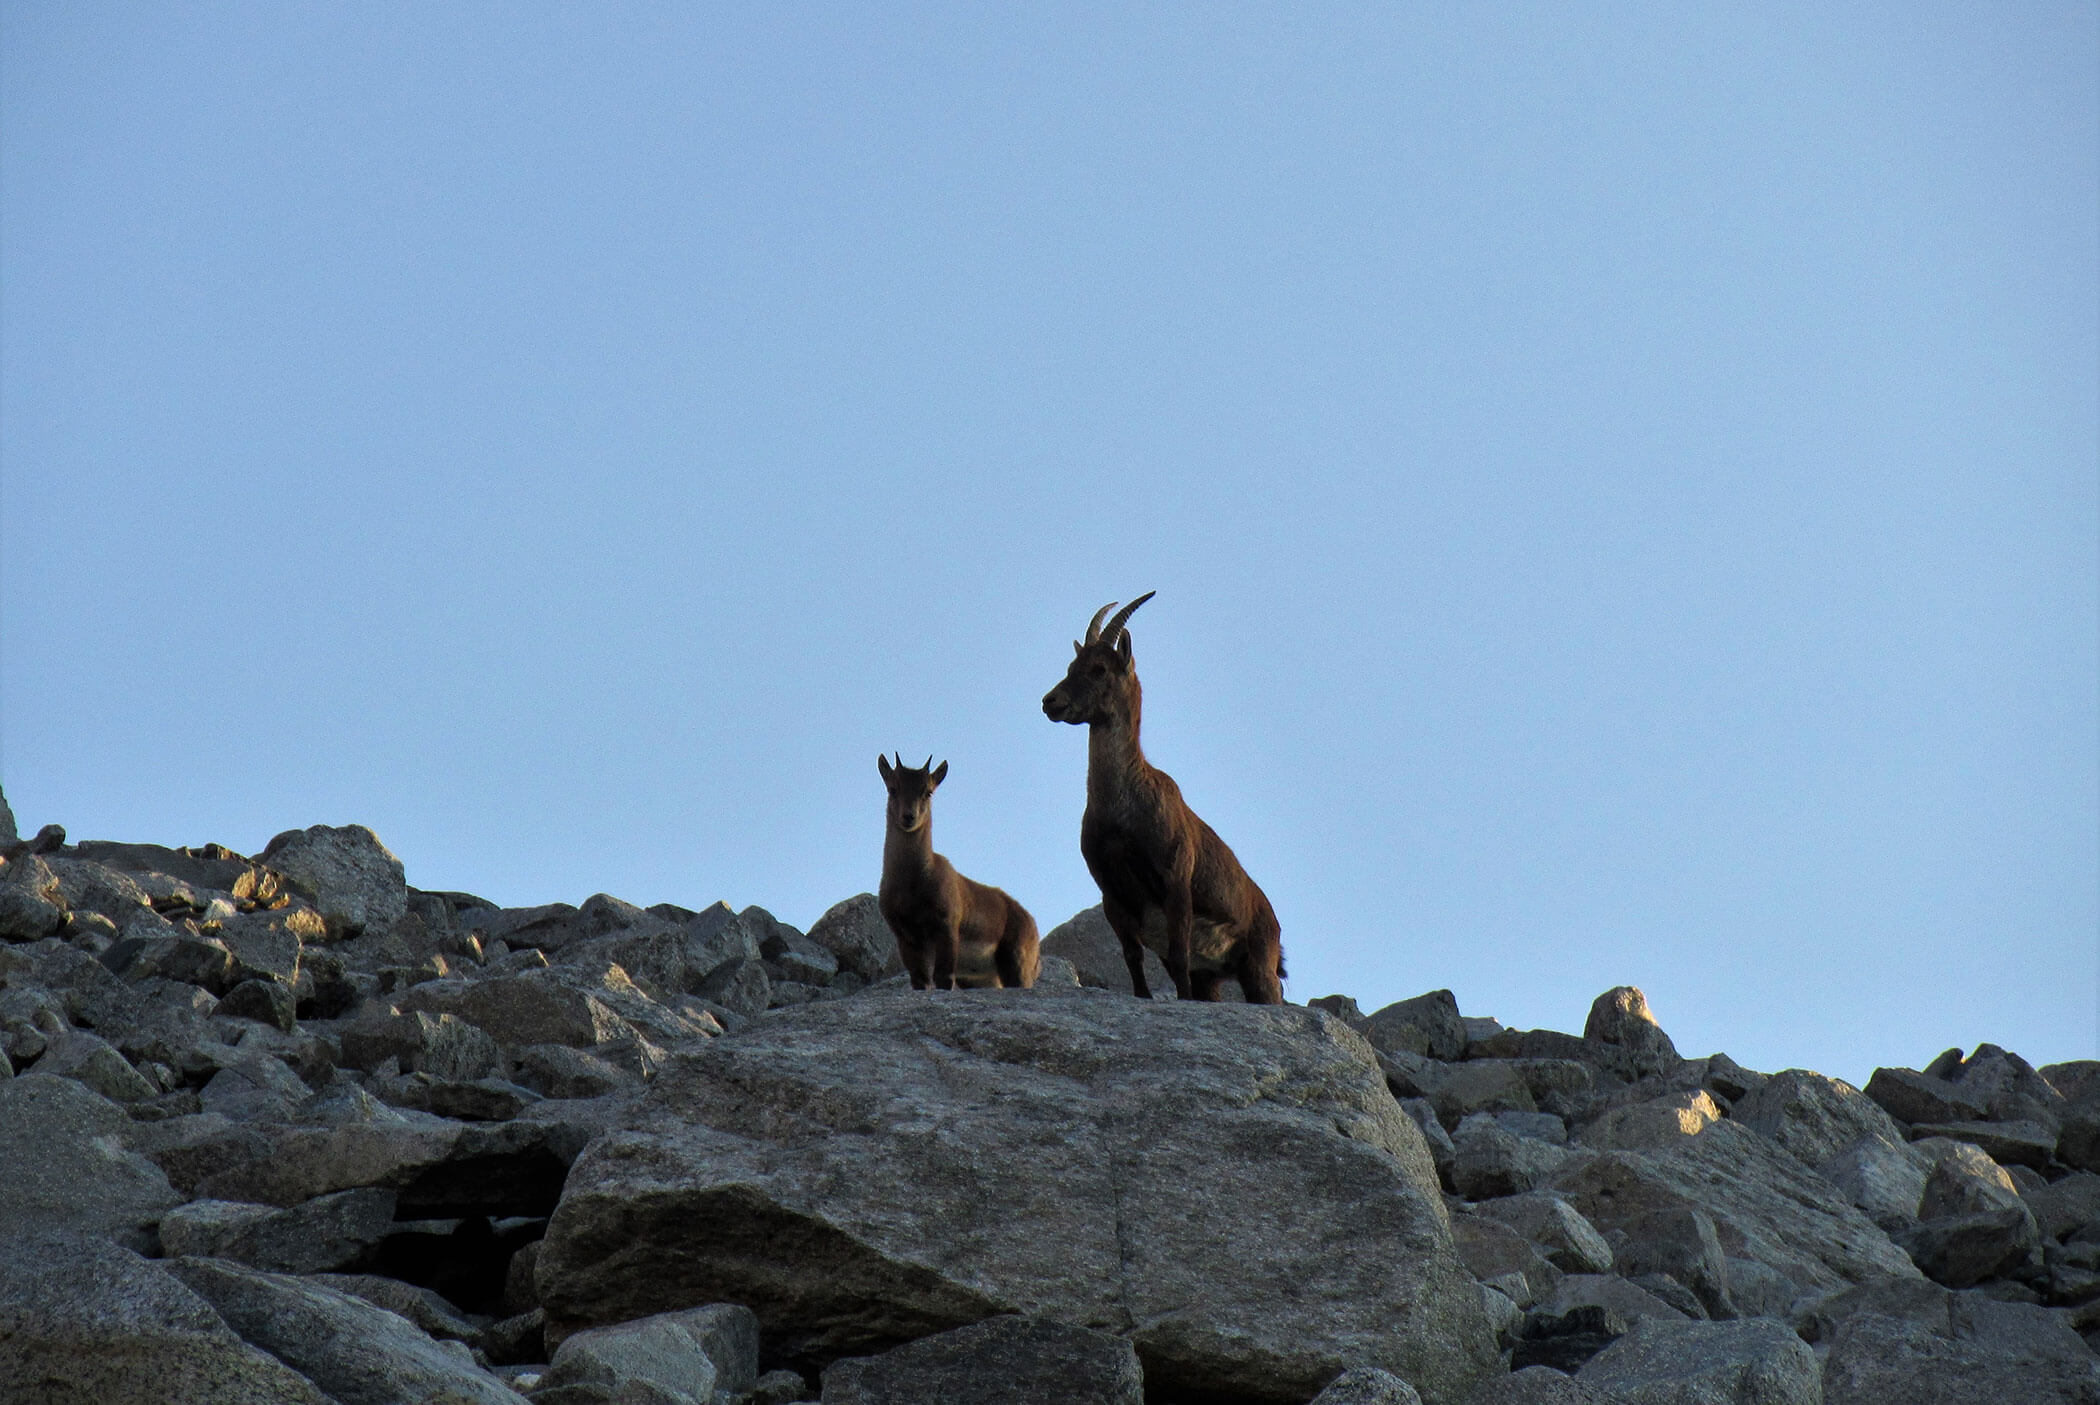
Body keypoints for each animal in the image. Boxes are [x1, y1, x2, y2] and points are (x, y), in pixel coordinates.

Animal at [877, 754, 1041, 990]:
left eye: (928, 791)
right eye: (893, 788)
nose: (909, 817)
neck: (913, 882)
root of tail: (1032, 924)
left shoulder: (947, 927)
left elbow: (944, 978)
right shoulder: (905, 936)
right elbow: (920, 981)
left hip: (1017, 959)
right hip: (985, 978)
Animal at [1041, 594, 1285, 1003]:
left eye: (1099, 669)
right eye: (1071, 665)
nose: (1050, 701)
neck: (1120, 810)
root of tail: (1274, 923)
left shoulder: (1175, 880)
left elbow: (1178, 952)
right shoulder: (1111, 892)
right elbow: (1132, 956)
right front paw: (1142, 997)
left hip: (1258, 964)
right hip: (1213, 976)